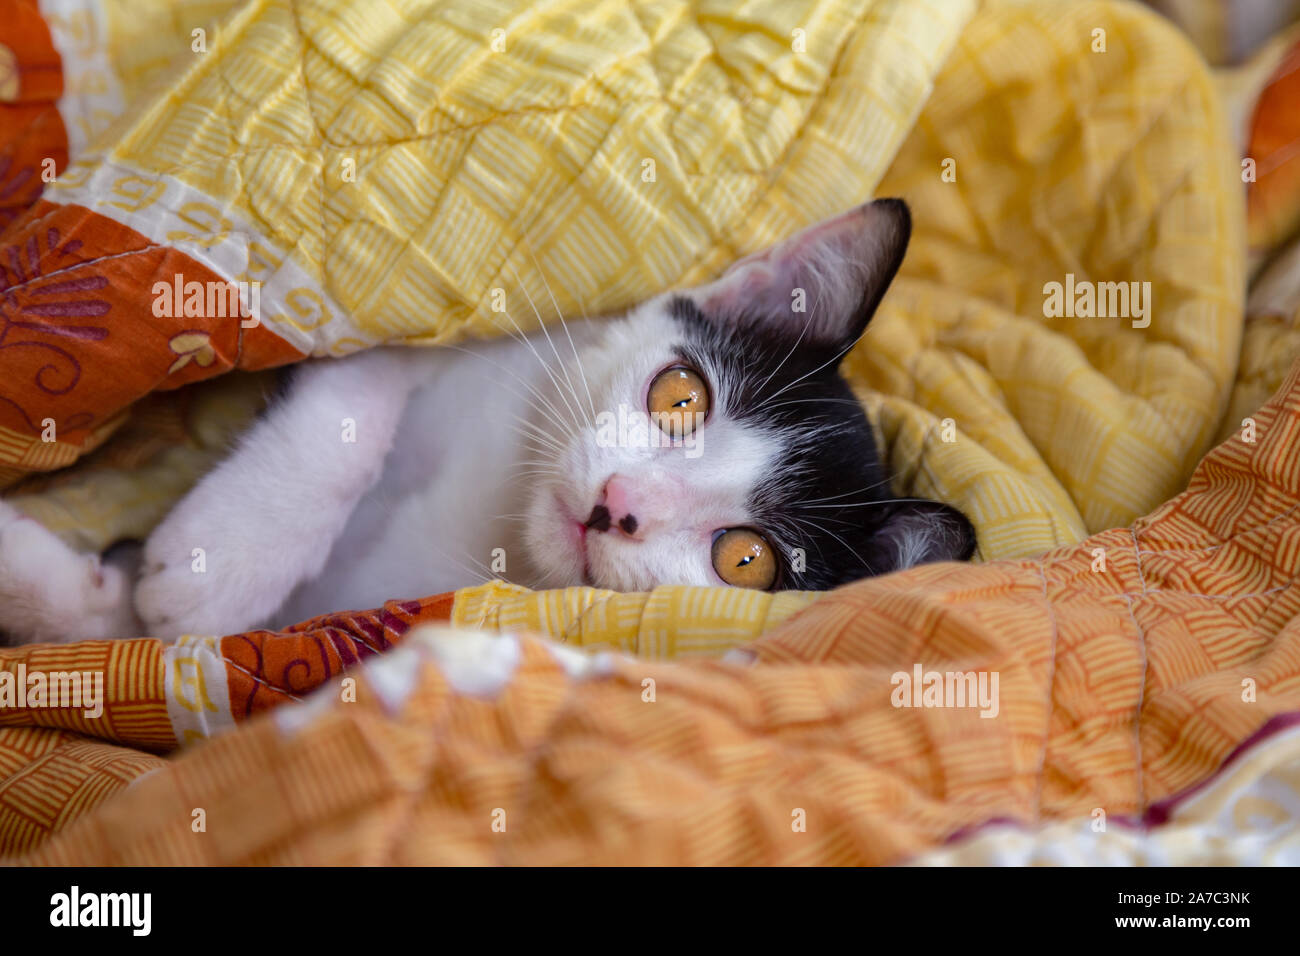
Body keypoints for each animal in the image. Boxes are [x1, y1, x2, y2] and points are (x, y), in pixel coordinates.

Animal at [0, 197, 977, 647]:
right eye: (680, 396)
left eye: (745, 561)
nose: (621, 503)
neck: (498, 521)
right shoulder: (442, 337)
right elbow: (360, 385)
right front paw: (232, 551)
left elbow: (122, 637)